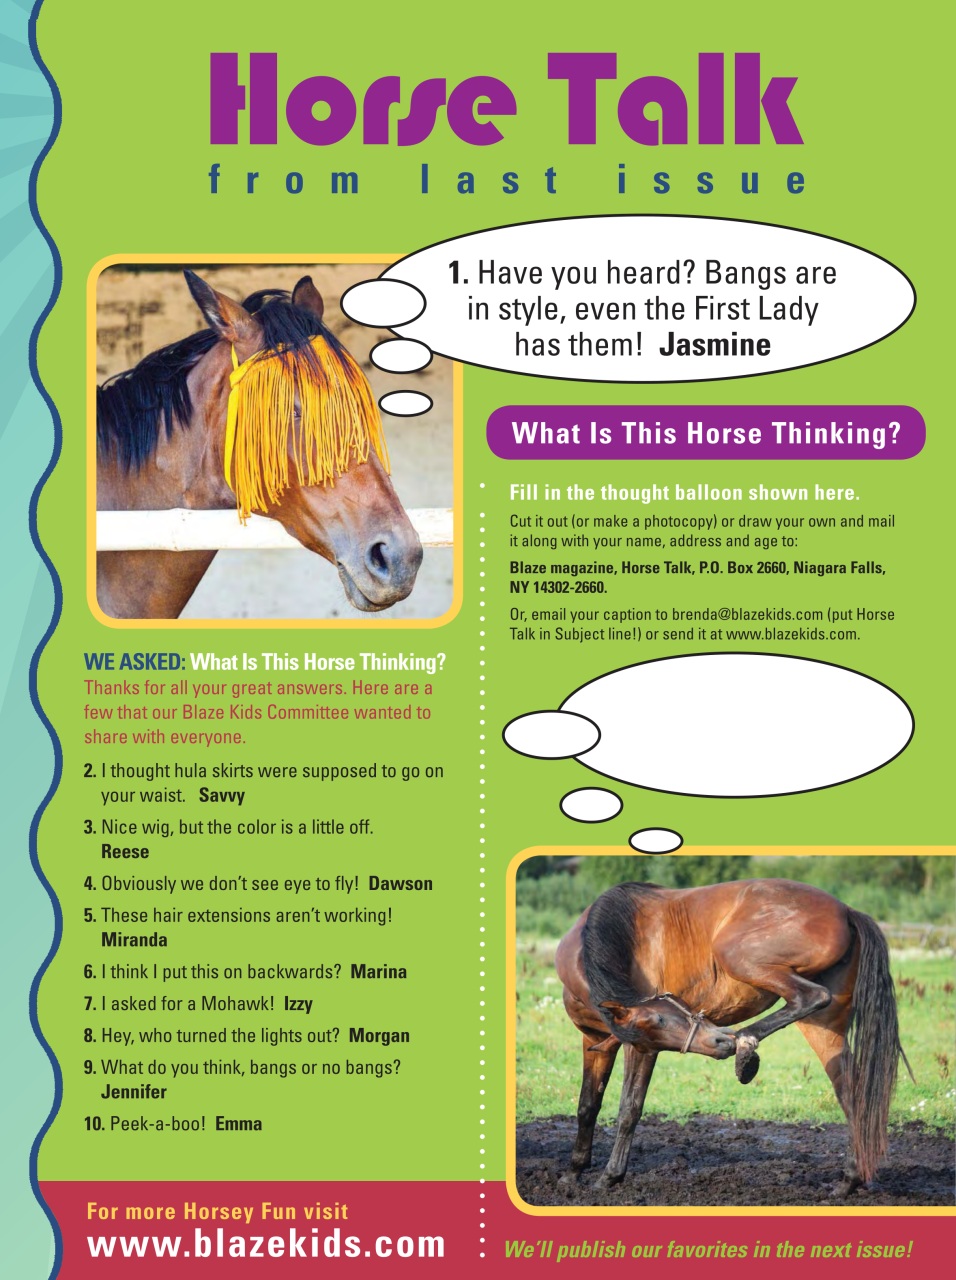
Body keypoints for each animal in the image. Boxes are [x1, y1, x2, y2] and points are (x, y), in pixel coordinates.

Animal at [555, 879, 910, 1193]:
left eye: (662, 1018)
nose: (717, 1041)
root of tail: (847, 911)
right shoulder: (595, 1042)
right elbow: (587, 1105)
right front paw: (573, 1172)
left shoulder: (641, 1049)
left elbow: (629, 1108)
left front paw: (610, 1176)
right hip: (824, 1027)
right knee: (851, 1094)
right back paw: (849, 1181)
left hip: (738, 955)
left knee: (811, 997)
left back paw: (745, 1044)